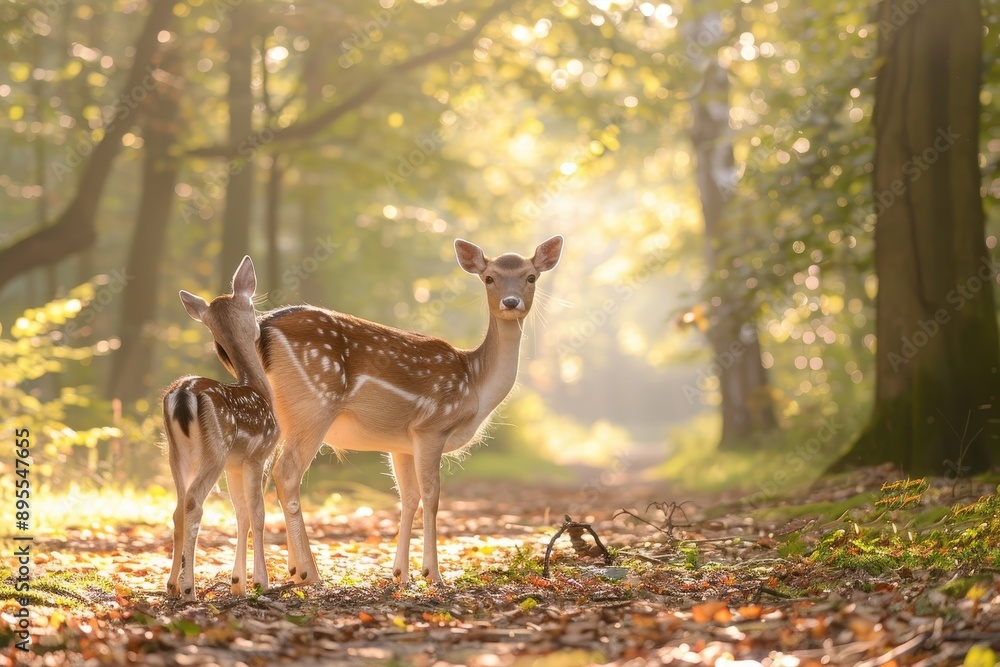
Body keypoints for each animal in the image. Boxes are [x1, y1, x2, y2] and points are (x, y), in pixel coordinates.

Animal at [163, 256, 280, 601]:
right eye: (254, 308)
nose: (263, 326)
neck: (259, 388)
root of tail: (182, 394)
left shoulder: (235, 463)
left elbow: (240, 512)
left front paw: (238, 583)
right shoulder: (257, 455)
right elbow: (258, 513)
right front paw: (261, 582)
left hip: (176, 453)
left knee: (177, 508)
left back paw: (172, 585)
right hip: (215, 448)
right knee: (192, 503)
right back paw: (189, 589)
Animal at [207, 236, 564, 586]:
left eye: (531, 277)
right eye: (489, 277)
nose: (511, 302)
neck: (474, 384)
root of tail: (263, 329)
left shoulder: (400, 444)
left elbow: (408, 497)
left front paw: (401, 574)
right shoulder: (431, 426)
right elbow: (432, 496)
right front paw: (433, 574)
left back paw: (285, 572)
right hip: (313, 405)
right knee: (286, 474)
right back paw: (309, 574)